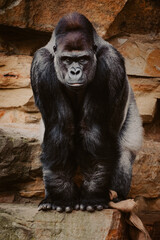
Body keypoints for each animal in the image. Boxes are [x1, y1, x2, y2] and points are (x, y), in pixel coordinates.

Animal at [30, 12, 143, 213]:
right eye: (67, 60)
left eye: (83, 59)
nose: (75, 71)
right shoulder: (41, 64)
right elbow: (60, 128)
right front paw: (61, 197)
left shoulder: (110, 62)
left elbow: (93, 129)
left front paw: (93, 196)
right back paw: (50, 197)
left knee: (124, 152)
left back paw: (117, 197)